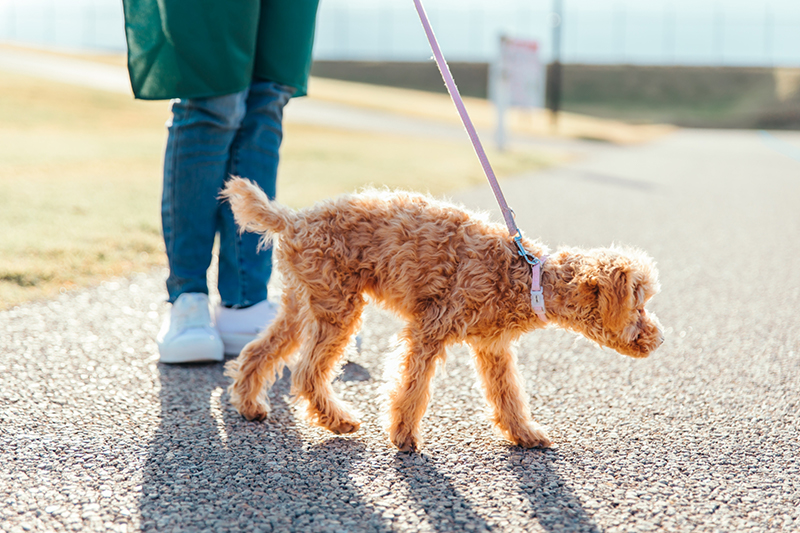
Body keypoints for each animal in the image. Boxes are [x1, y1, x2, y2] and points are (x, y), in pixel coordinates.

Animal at [219, 177, 664, 450]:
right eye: (639, 305)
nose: (659, 339)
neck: (528, 277)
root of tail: (293, 220)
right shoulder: (430, 329)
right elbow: (411, 387)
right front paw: (403, 437)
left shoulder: (493, 348)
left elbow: (508, 396)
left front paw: (525, 435)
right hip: (337, 307)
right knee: (307, 372)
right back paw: (339, 421)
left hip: (305, 302)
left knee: (259, 351)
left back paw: (249, 404)